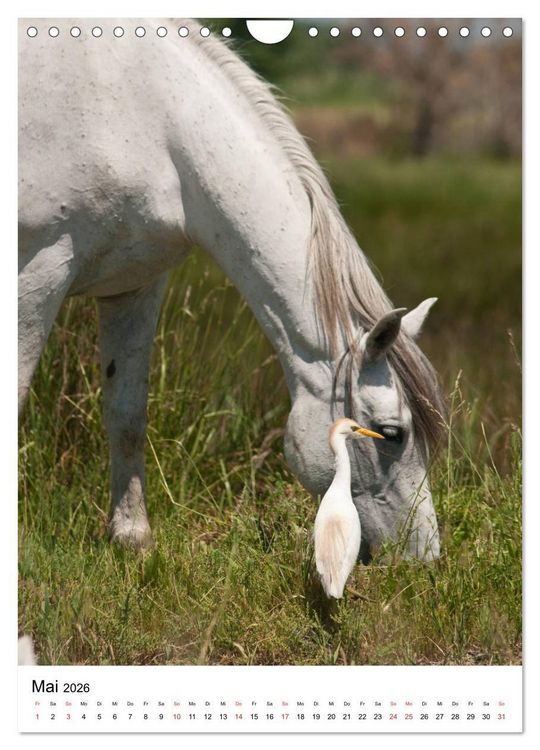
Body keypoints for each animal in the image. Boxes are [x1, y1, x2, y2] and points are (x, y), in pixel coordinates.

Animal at [19, 19, 445, 565]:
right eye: (393, 433)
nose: (425, 559)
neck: (146, 117)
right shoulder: (38, 272)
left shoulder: (134, 284)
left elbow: (127, 412)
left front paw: (133, 541)